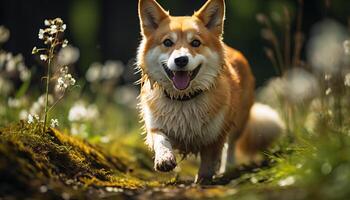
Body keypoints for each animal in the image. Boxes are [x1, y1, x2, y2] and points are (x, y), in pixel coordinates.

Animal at [137, 0, 284, 183]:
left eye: (195, 43)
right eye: (168, 43)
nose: (181, 60)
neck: (184, 99)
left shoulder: (215, 135)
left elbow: (209, 161)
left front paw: (203, 180)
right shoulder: (155, 125)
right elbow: (161, 140)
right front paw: (165, 159)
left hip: (238, 123)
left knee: (231, 145)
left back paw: (227, 169)